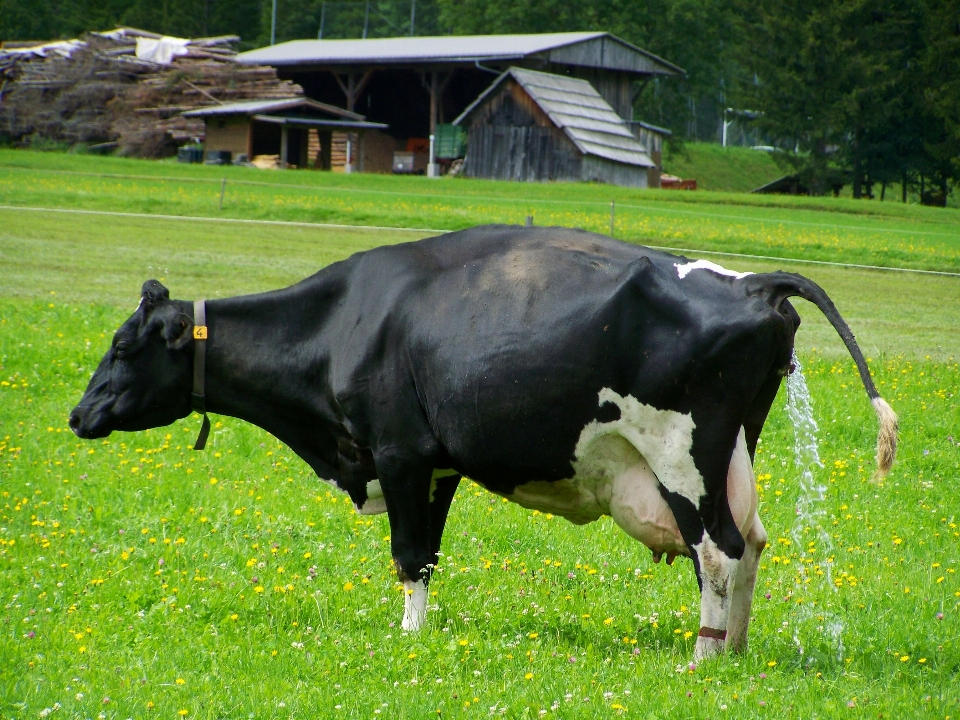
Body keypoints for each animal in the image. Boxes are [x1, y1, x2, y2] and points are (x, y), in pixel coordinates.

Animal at [71, 224, 896, 660]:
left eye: (123, 345)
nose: (79, 415)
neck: (345, 318)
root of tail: (749, 282)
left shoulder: (400, 453)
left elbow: (409, 555)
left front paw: (406, 640)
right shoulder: (436, 467)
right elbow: (429, 556)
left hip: (682, 455)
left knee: (718, 550)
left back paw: (700, 656)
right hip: (729, 454)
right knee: (749, 544)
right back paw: (734, 651)